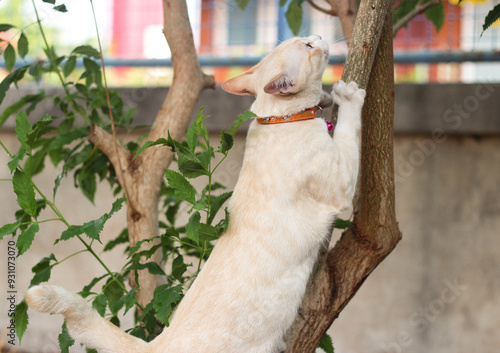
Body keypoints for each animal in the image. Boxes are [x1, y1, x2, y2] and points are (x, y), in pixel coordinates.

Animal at [25, 35, 366, 352]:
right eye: (308, 45)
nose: (319, 37)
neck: (278, 120)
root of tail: (156, 342)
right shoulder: (341, 185)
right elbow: (349, 131)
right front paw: (348, 95)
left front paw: (330, 95)